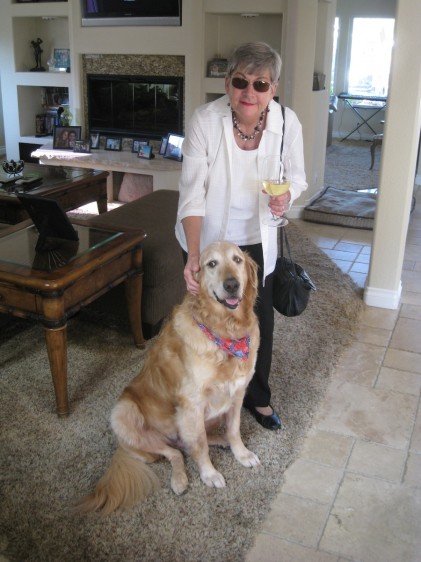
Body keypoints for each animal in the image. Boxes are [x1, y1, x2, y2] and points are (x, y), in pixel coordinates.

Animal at [76, 241, 260, 512]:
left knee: (186, 444)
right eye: (211, 264)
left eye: (237, 259)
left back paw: (222, 440)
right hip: (123, 413)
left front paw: (241, 453)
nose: (232, 285)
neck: (225, 330)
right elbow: (199, 445)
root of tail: (122, 449)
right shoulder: (192, 404)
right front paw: (209, 473)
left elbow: (234, 428)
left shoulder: (237, 392)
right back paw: (180, 480)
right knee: (176, 452)